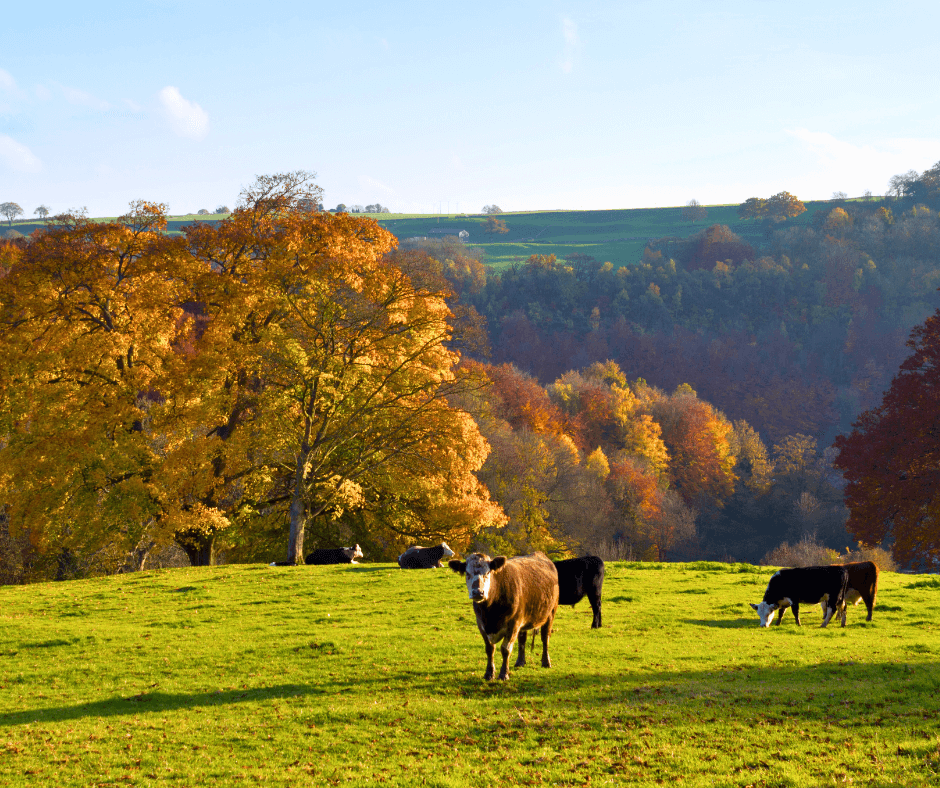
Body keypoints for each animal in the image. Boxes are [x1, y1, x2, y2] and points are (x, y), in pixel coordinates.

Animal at [448, 552, 560, 680]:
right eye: (467, 573)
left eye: (488, 572)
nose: (478, 592)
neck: (489, 612)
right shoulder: (481, 625)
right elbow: (489, 649)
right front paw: (489, 673)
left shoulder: (513, 624)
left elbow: (506, 649)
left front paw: (503, 674)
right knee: (522, 639)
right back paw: (520, 661)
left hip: (550, 613)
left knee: (545, 638)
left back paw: (546, 662)